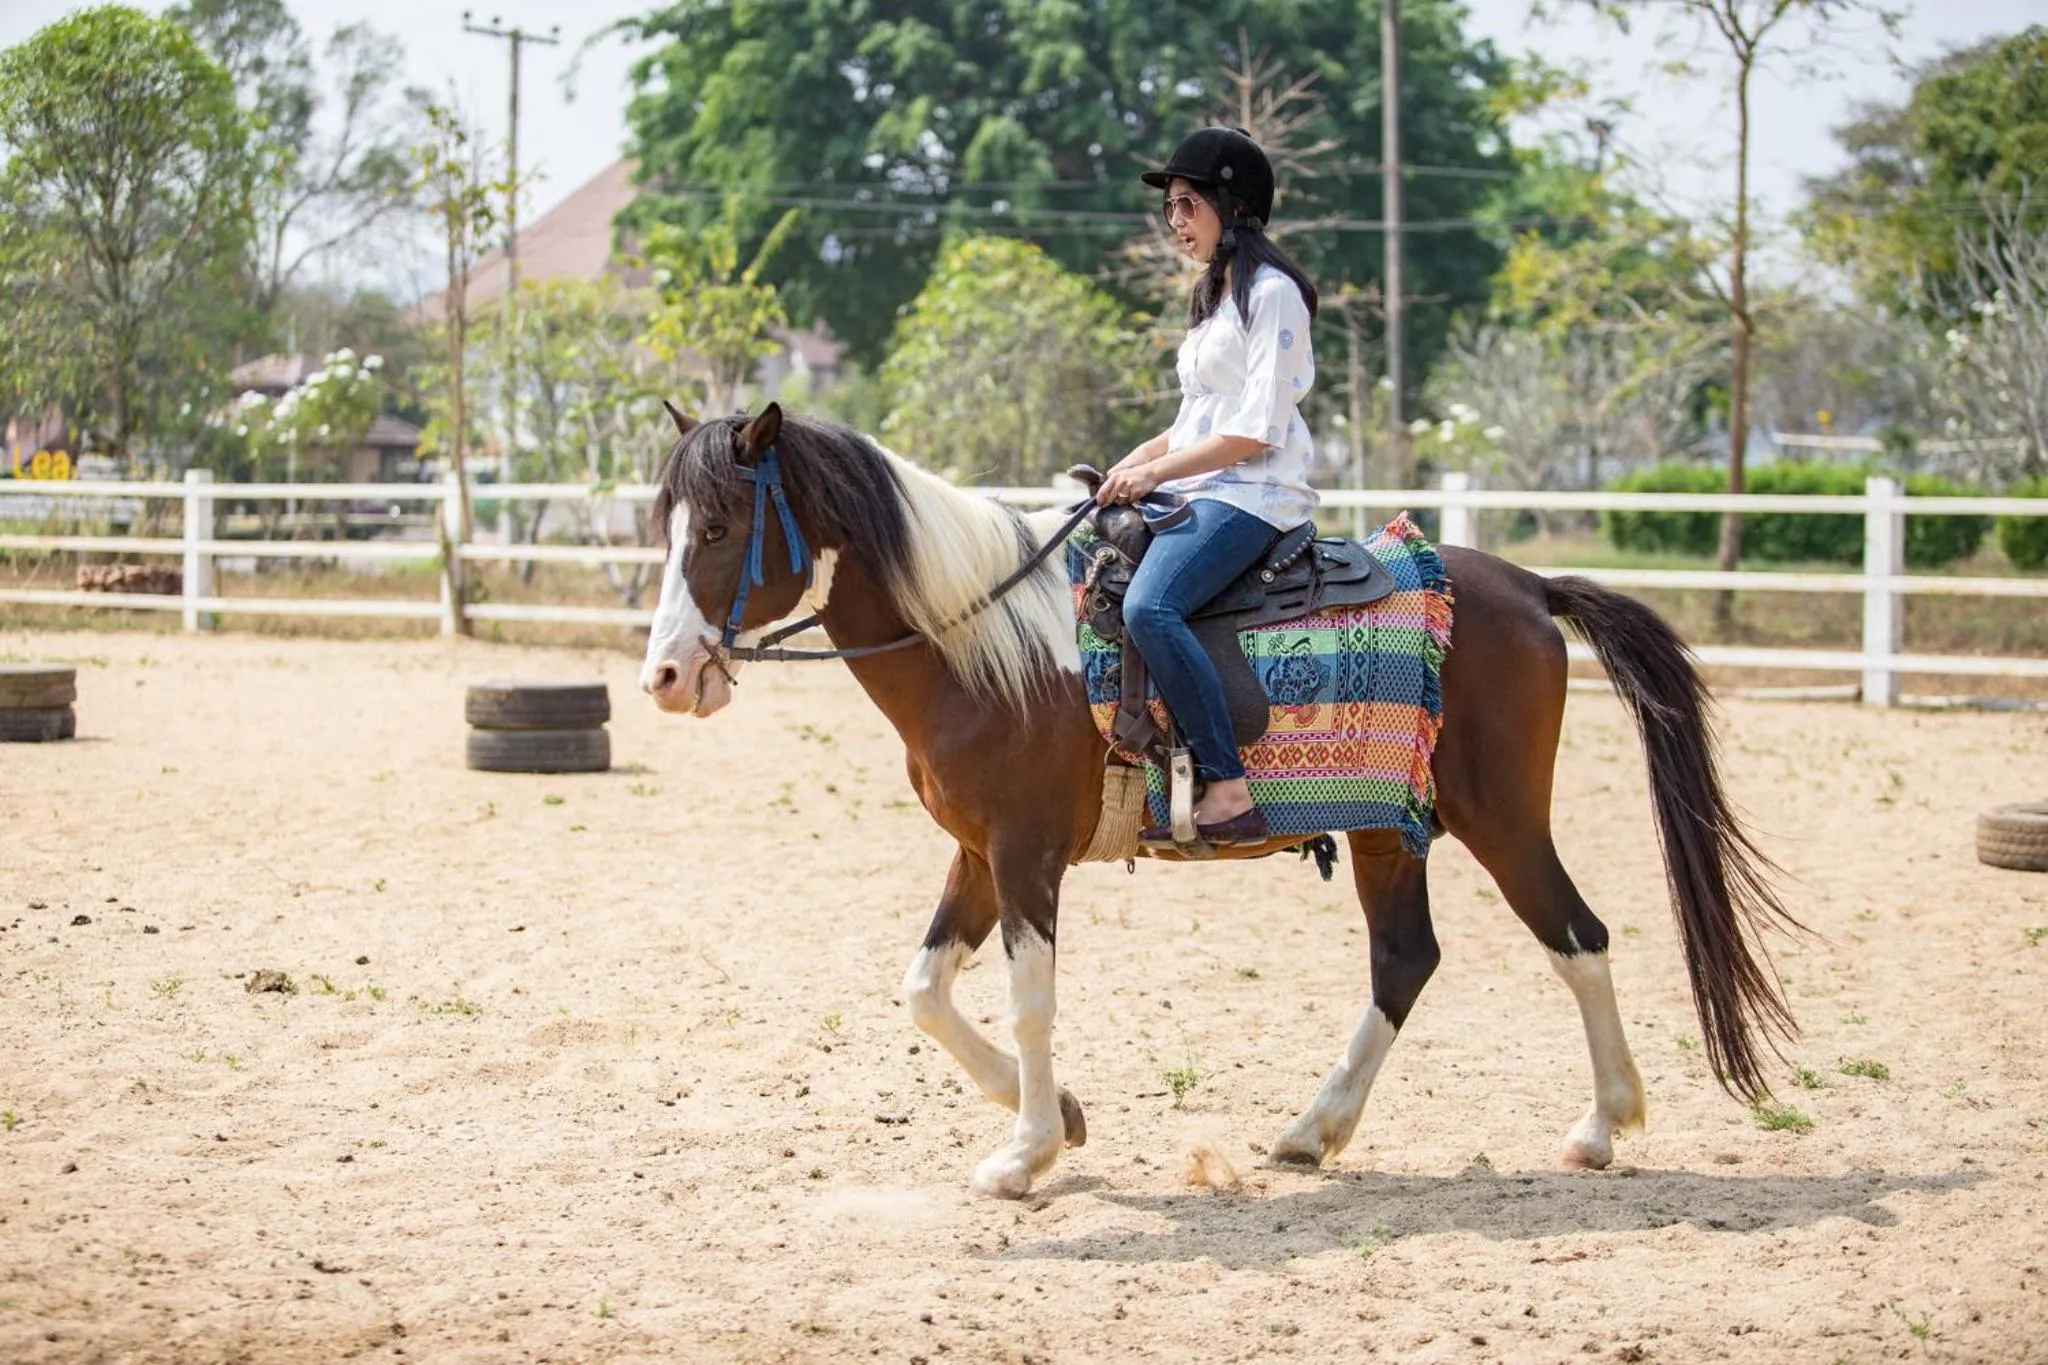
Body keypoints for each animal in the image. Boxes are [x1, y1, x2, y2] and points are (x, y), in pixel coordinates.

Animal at [639, 401, 1797, 1200]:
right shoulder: (976, 854)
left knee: (1577, 937)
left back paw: (1602, 1126)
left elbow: (1027, 998)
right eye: (666, 526)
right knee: (1405, 960)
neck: (988, 645)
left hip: (1500, 819)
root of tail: (1524, 587)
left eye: (722, 526)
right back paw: (1311, 1130)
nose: (665, 677)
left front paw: (1024, 1154)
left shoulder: (1023, 854)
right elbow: (923, 990)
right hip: (1389, 832)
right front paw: (1059, 1113)